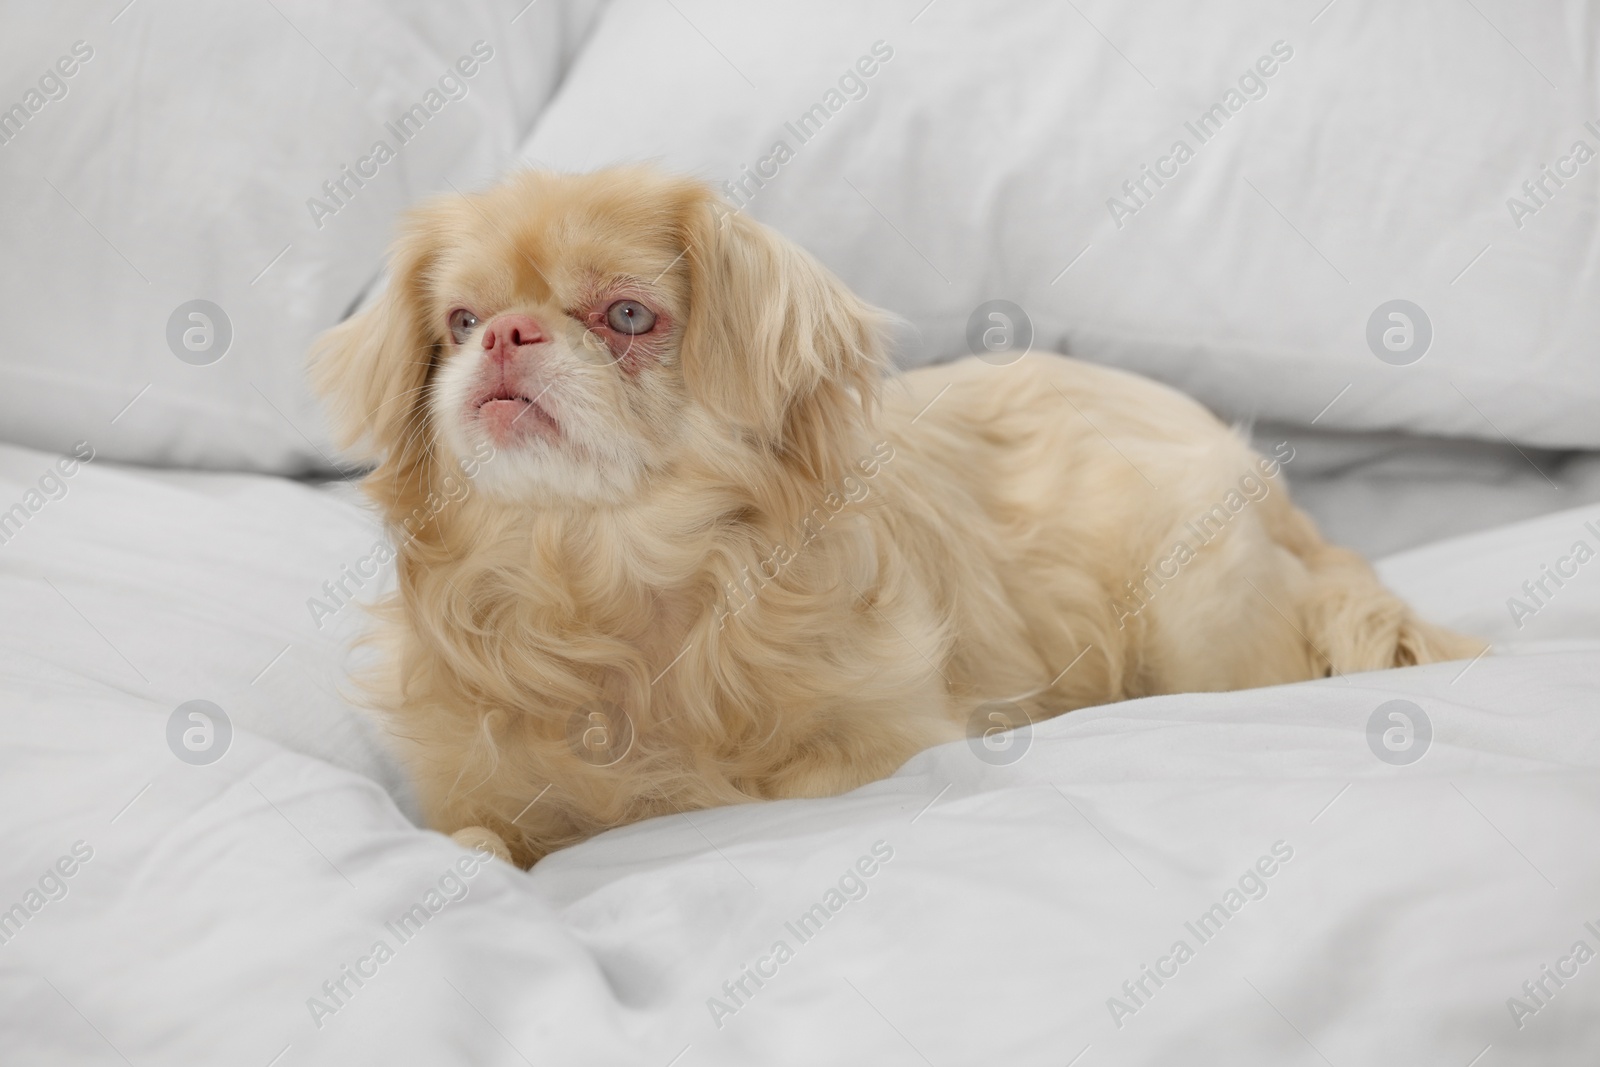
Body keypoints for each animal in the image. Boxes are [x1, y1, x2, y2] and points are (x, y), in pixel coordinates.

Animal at [312, 167, 1484, 870]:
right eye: (458, 322)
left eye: (628, 315)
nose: (505, 334)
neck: (601, 580)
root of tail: (1253, 465)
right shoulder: (472, 793)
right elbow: (476, 838)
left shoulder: (883, 742)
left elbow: (773, 784)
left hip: (1200, 626)